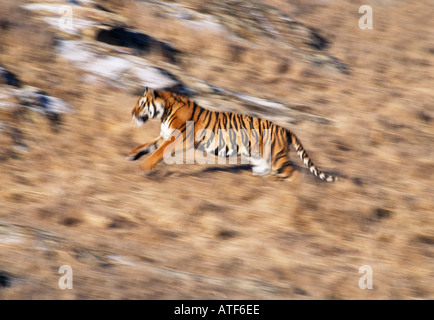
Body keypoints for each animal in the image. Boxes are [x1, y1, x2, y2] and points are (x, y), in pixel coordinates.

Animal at [127, 87, 338, 182]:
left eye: (141, 104)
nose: (132, 113)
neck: (164, 113)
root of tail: (286, 129)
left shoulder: (176, 139)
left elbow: (156, 153)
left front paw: (143, 168)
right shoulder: (164, 136)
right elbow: (146, 146)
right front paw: (131, 155)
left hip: (276, 156)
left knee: (293, 173)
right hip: (261, 159)